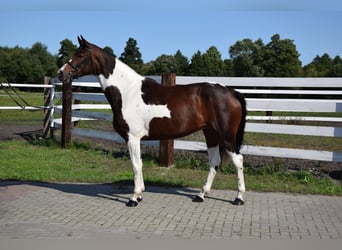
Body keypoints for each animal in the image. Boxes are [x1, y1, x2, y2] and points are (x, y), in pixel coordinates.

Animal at [57, 35, 247, 207]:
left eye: (80, 55)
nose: (61, 73)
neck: (127, 92)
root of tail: (231, 92)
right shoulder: (135, 139)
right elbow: (139, 164)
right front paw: (140, 194)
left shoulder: (132, 137)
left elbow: (135, 164)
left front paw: (134, 198)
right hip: (211, 134)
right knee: (214, 161)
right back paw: (201, 195)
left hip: (226, 136)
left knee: (238, 160)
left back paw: (239, 198)